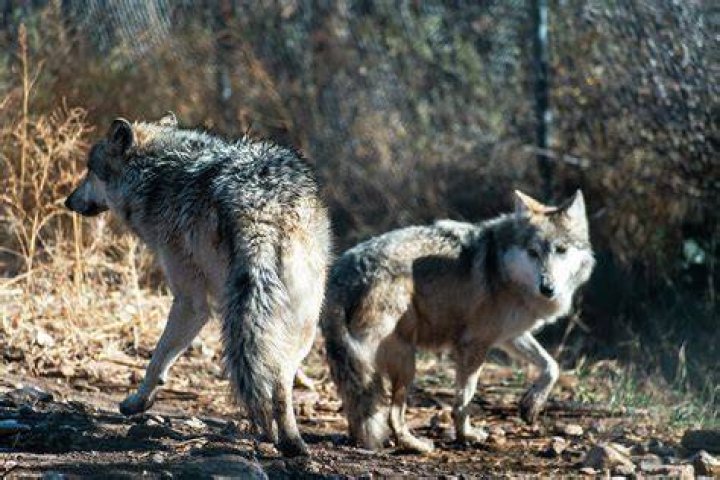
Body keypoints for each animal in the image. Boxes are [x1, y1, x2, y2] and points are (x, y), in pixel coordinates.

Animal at [65, 114, 331, 456]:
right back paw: (288, 440)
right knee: (277, 380)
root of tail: (263, 208)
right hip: (302, 325)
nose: (68, 200)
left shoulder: (191, 303)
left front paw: (137, 403)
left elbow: (157, 360)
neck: (158, 175)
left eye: (89, 171)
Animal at [321, 190, 594, 453]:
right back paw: (417, 445)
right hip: (406, 361)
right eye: (533, 252)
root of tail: (344, 272)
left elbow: (552, 366)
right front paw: (466, 436)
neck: (502, 269)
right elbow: (464, 400)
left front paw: (531, 405)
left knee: (358, 411)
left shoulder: (509, 336)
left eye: (561, 250)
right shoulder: (474, 344)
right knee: (392, 416)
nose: (547, 288)